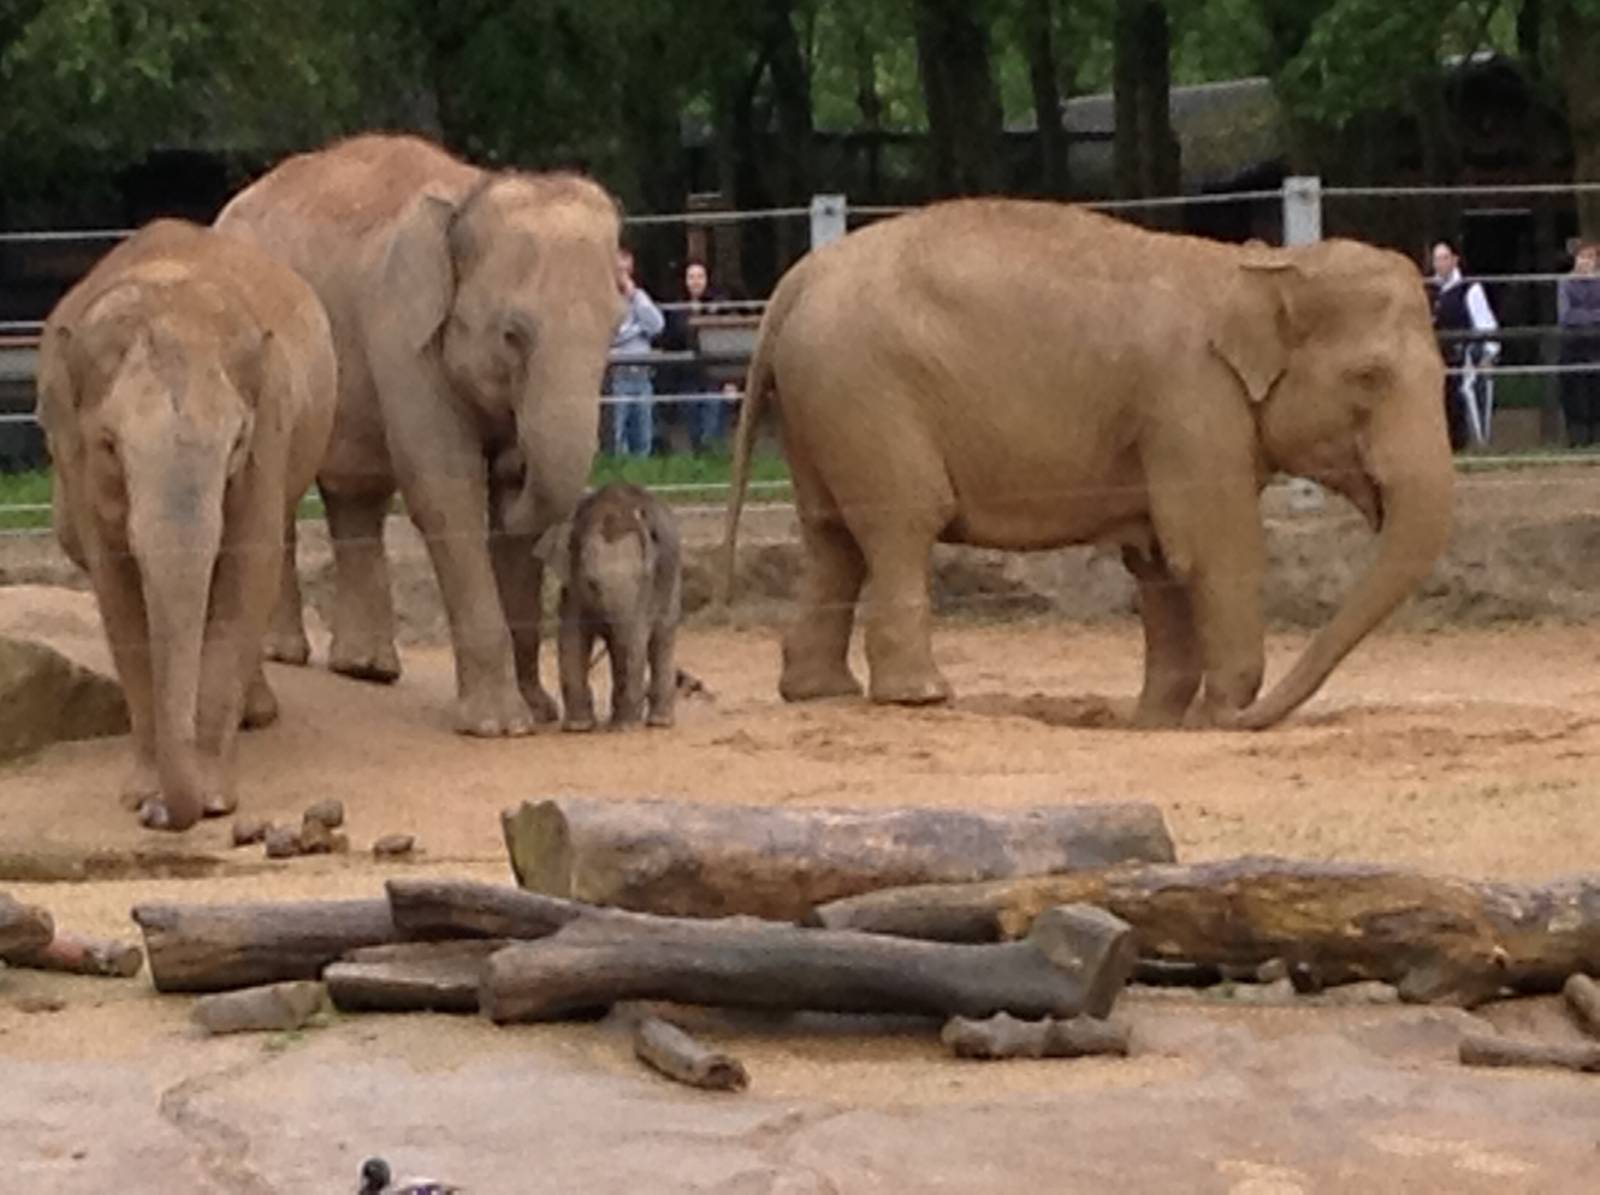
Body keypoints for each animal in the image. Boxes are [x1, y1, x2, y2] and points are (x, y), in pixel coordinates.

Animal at [36, 219, 337, 829]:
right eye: (108, 445)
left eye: (237, 442)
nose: (161, 815)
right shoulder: (79, 464)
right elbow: (118, 593)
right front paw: (141, 797)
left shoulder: (268, 438)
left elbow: (246, 572)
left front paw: (213, 800)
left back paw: (255, 717)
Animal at [214, 133, 624, 736]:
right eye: (512, 334)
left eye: (616, 330)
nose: (517, 462)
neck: (470, 193)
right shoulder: (402, 332)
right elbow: (445, 490)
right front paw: (499, 726)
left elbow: (505, 515)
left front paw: (535, 710)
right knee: (282, 493)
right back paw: (285, 653)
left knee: (356, 492)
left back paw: (366, 667)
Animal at [553, 482, 682, 731]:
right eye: (592, 583)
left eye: (644, 577)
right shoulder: (572, 585)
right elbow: (572, 635)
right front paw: (578, 726)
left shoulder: (647, 593)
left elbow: (635, 642)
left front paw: (624, 726)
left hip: (671, 583)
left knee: (662, 636)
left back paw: (659, 721)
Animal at [721, 199, 1454, 729]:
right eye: (1369, 377)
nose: (1249, 716)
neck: (1263, 267)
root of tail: (797, 279)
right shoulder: (1190, 402)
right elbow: (1213, 548)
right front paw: (1217, 716)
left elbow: (1157, 558)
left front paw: (1155, 721)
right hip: (866, 395)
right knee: (901, 524)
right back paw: (921, 697)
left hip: (821, 403)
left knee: (831, 539)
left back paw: (821, 693)